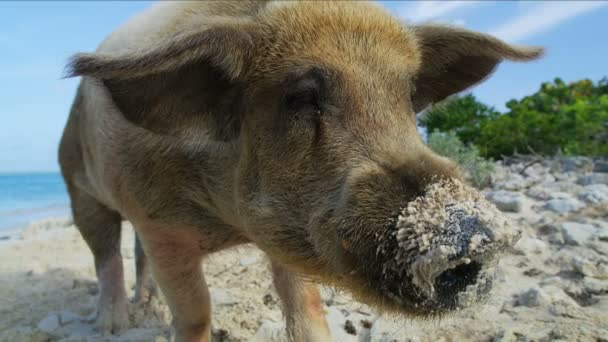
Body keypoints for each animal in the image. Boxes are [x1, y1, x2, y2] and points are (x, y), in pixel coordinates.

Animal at [57, 1, 540, 340]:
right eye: (302, 97)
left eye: (405, 96)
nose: (478, 236)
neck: (228, 225)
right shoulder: (160, 224)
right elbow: (195, 312)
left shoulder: (289, 232)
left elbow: (305, 305)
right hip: (77, 185)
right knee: (105, 254)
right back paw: (113, 327)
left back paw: (145, 306)